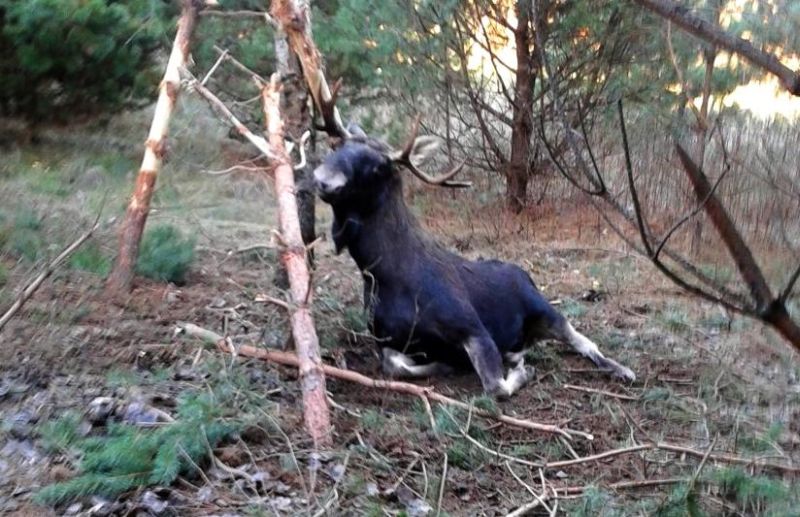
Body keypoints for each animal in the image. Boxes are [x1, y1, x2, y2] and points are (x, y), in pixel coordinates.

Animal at [310, 92, 636, 398]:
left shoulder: (473, 327)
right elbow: (396, 366)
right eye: (338, 146)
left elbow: (496, 386)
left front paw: (520, 371)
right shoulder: (385, 340)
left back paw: (622, 369)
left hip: (545, 309)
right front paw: (444, 363)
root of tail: (526, 274)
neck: (386, 277)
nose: (322, 179)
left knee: (584, 340)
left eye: (379, 166)